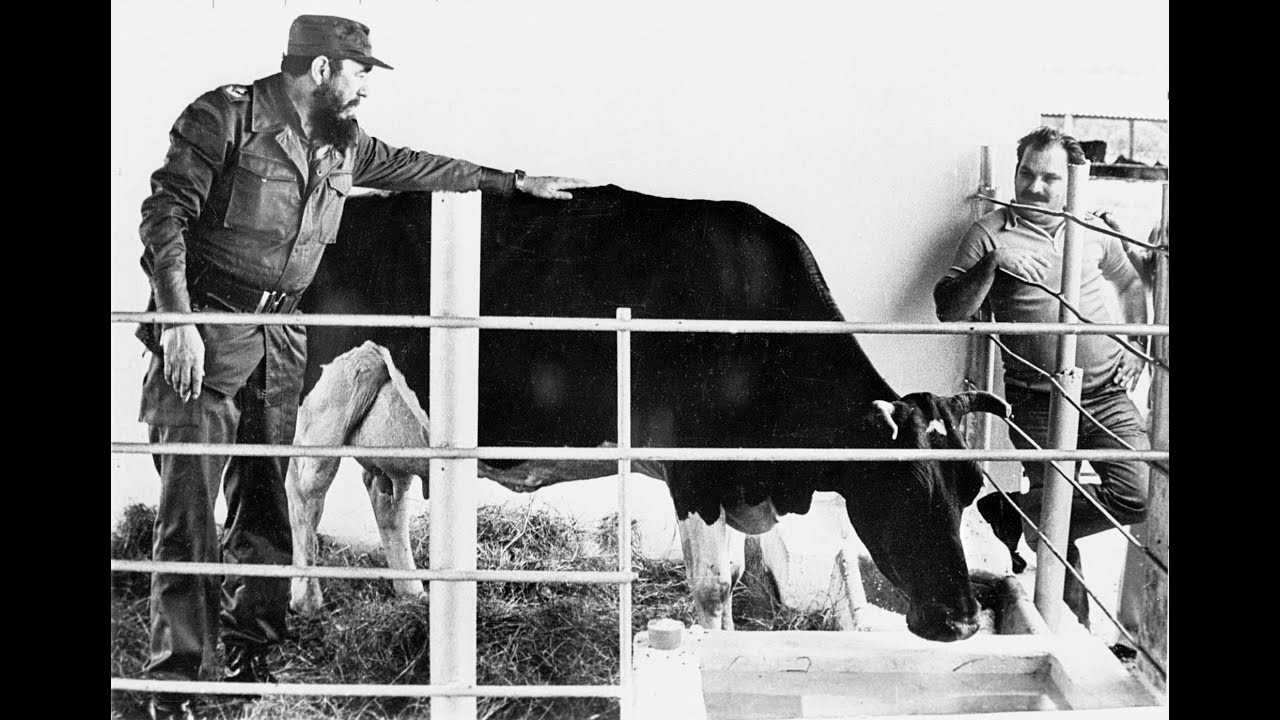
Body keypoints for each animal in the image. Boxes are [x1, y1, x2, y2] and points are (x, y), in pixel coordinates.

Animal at [288, 185, 1010, 642]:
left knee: (385, 493)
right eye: (898, 489)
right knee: (306, 488)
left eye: (970, 491)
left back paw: (411, 593)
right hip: (334, 378)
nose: (962, 621)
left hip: (393, 403)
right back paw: (306, 599)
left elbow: (737, 575)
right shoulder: (695, 474)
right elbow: (712, 586)